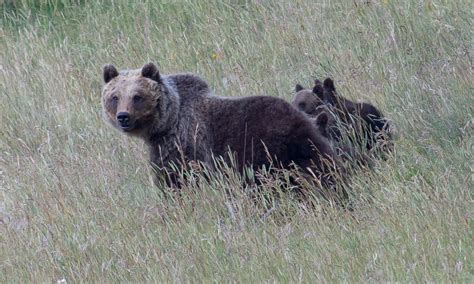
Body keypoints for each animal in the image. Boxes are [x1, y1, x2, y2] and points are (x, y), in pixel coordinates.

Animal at [102, 63, 342, 192]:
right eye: (115, 97)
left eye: (137, 96)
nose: (123, 117)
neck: (168, 122)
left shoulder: (182, 145)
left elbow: (177, 179)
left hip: (262, 147)